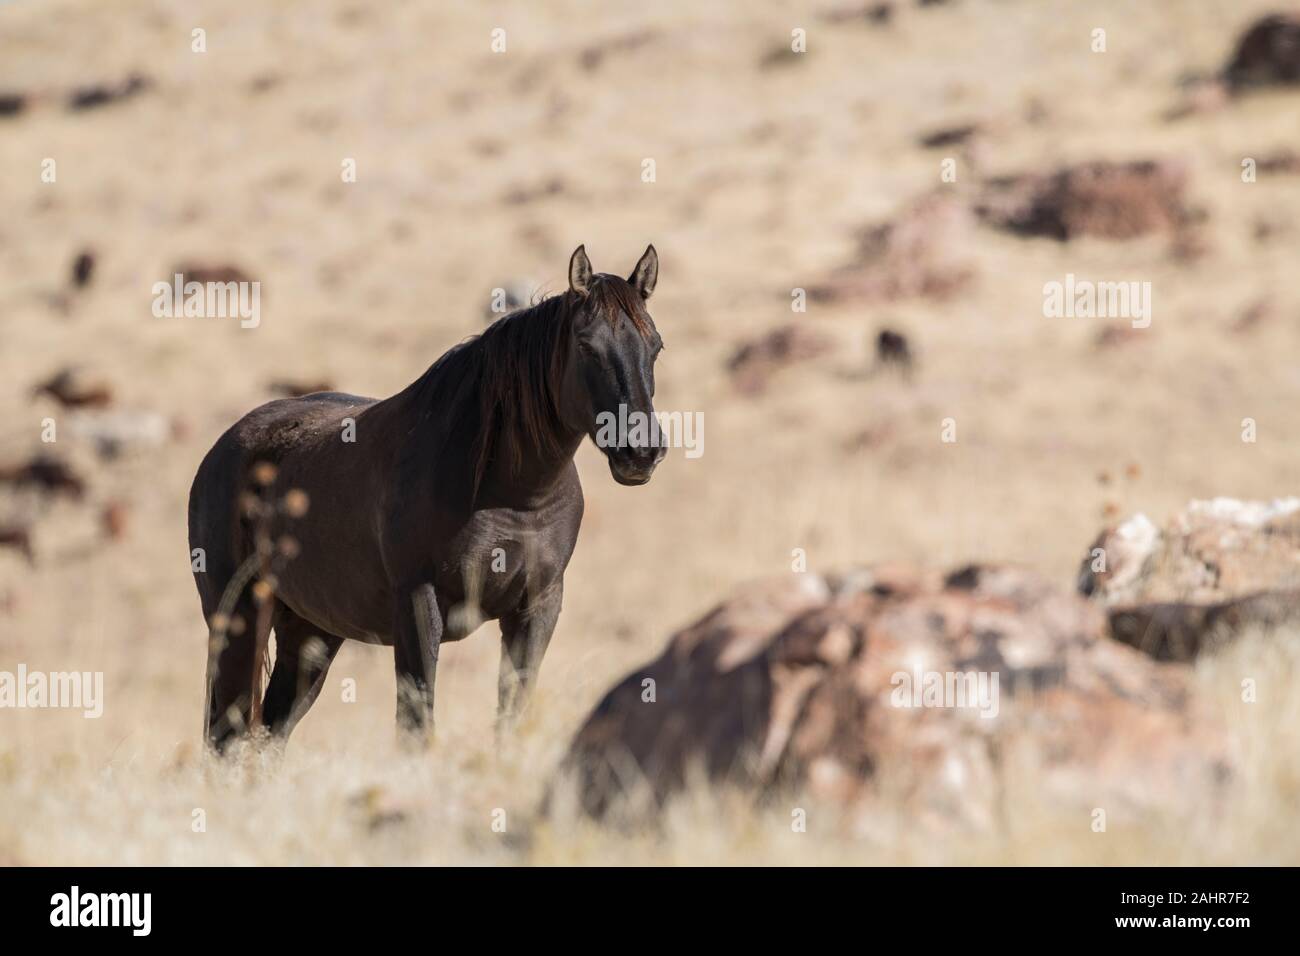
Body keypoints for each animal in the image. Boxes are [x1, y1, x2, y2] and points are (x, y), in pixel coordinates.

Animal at [188, 245, 666, 751]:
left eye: (655, 346)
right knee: (225, 736)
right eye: (586, 346)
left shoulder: (538, 608)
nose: (640, 451)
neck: (516, 499)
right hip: (237, 621)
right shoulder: (419, 607)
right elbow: (416, 726)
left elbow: (511, 716)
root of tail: (223, 449)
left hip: (310, 631)